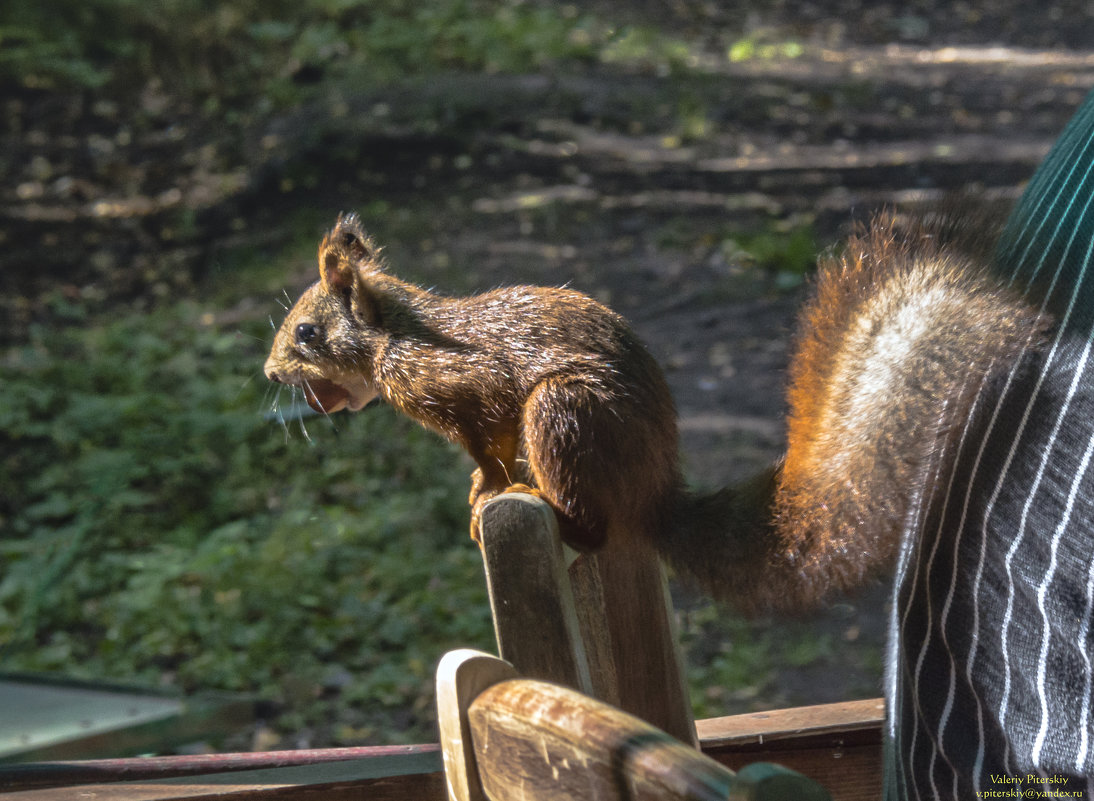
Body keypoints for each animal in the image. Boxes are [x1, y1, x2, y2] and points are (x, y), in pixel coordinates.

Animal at [264, 211, 1050, 612]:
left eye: (307, 333)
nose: (271, 373)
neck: (396, 336)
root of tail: (654, 494)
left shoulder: (461, 386)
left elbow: (487, 442)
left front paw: (489, 490)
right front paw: (483, 488)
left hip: (564, 413)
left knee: (591, 523)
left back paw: (548, 505)